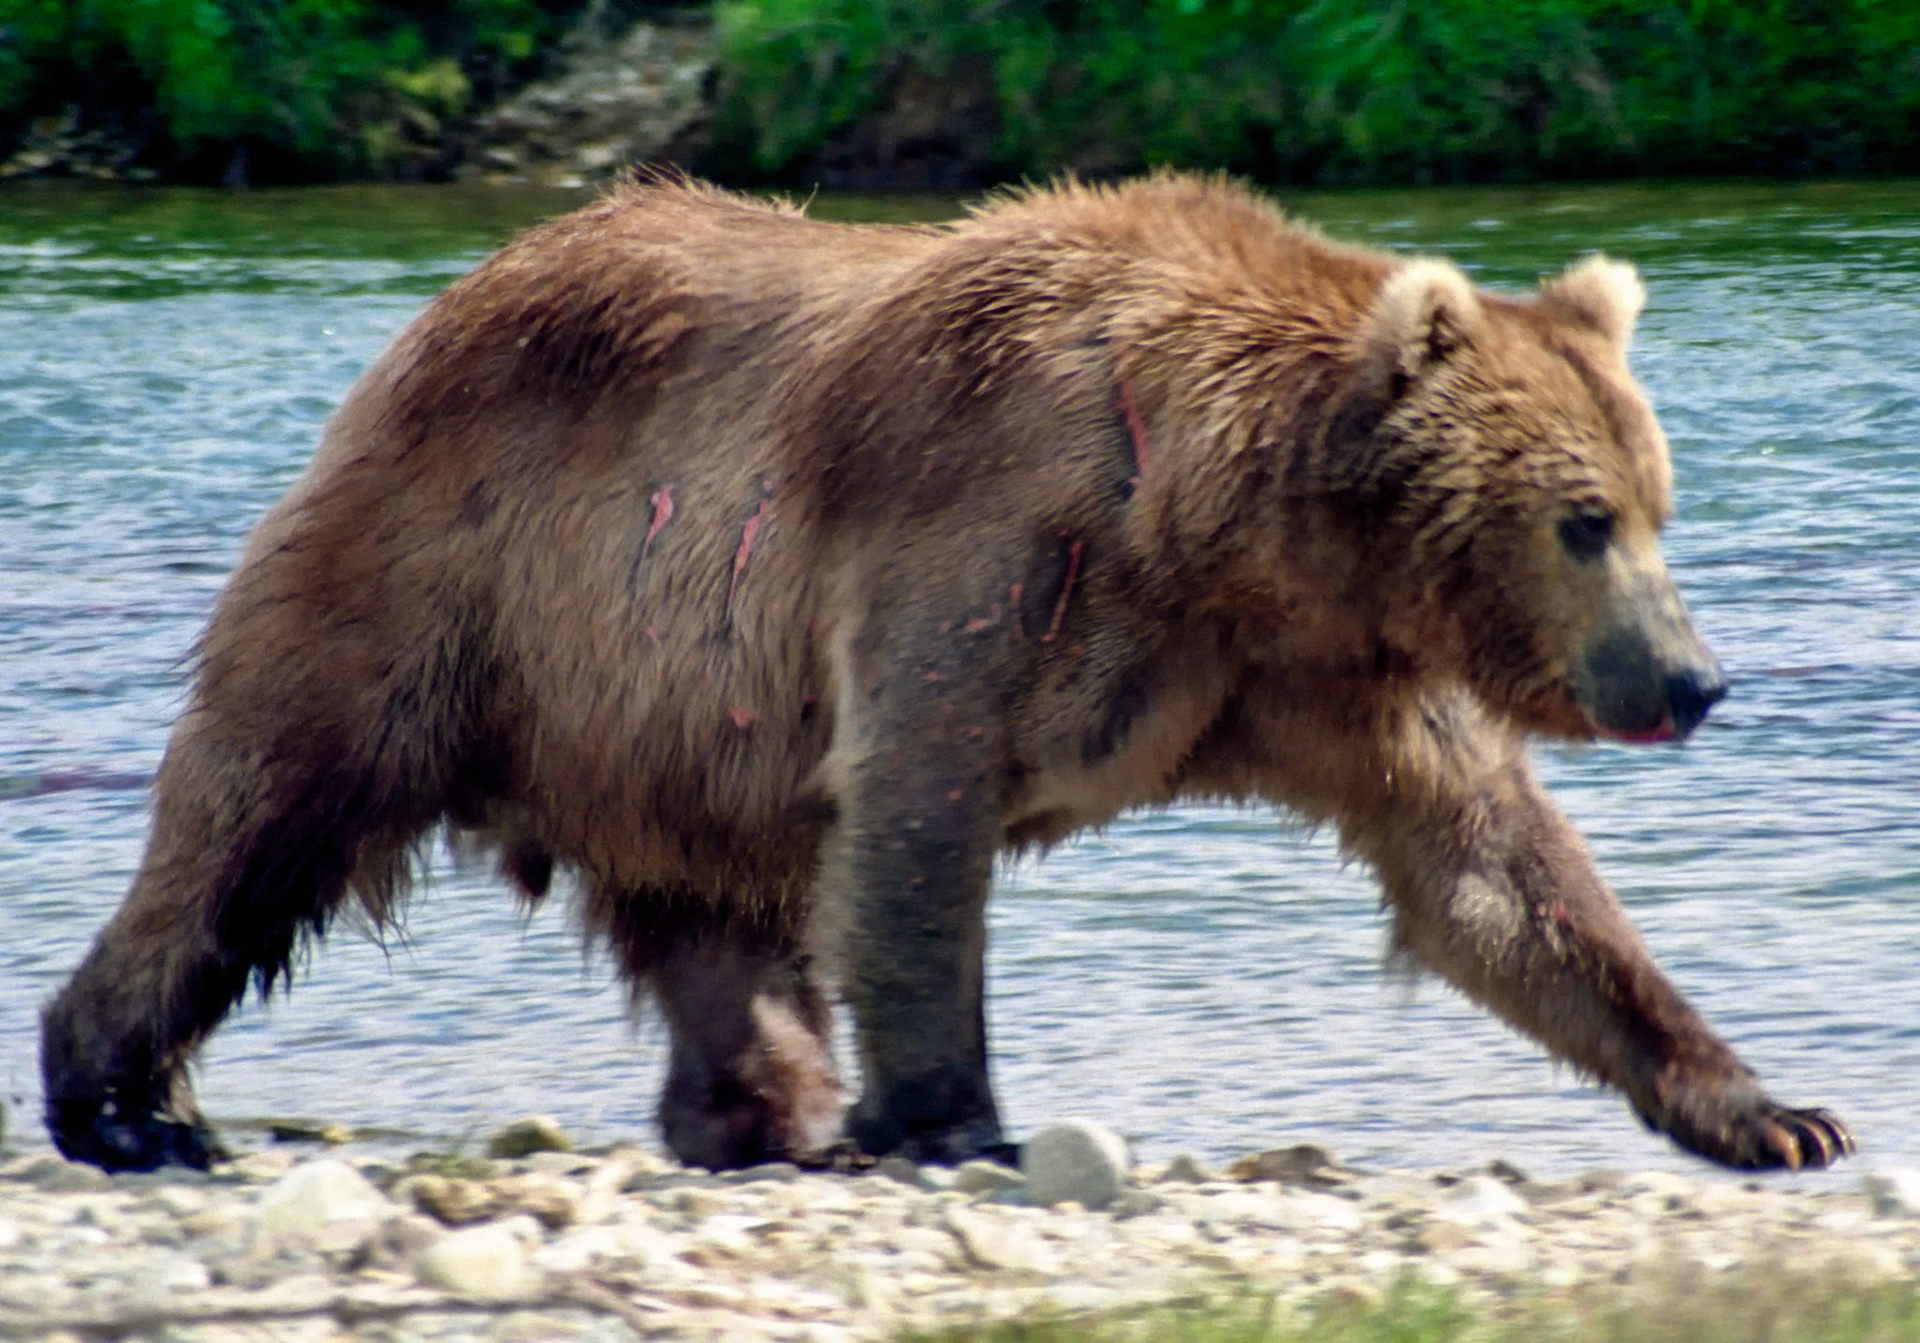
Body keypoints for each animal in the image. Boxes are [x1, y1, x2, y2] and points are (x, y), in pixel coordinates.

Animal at [43, 173, 1854, 1175]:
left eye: (1659, 504)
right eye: (1582, 518)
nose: (1695, 678)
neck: (1214, 520)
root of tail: (437, 312)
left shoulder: (1320, 668)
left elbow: (1497, 873)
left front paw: (1770, 1103)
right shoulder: (989, 536)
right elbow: (916, 816)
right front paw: (951, 1110)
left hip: (671, 722)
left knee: (721, 923)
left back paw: (760, 1110)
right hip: (457, 574)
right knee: (260, 817)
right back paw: (127, 1098)